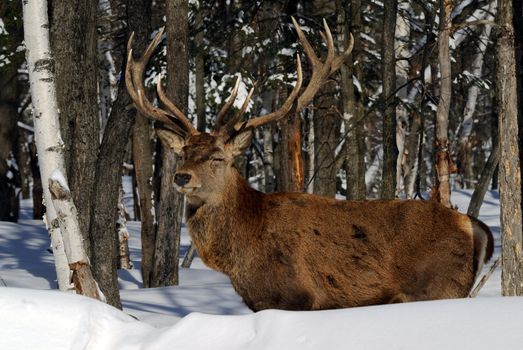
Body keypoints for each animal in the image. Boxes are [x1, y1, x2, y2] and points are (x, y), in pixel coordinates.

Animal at [125, 19, 494, 312]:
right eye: (183, 153)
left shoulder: (294, 295)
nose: (181, 177)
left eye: (218, 157)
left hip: (440, 287)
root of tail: (472, 225)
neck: (244, 245)